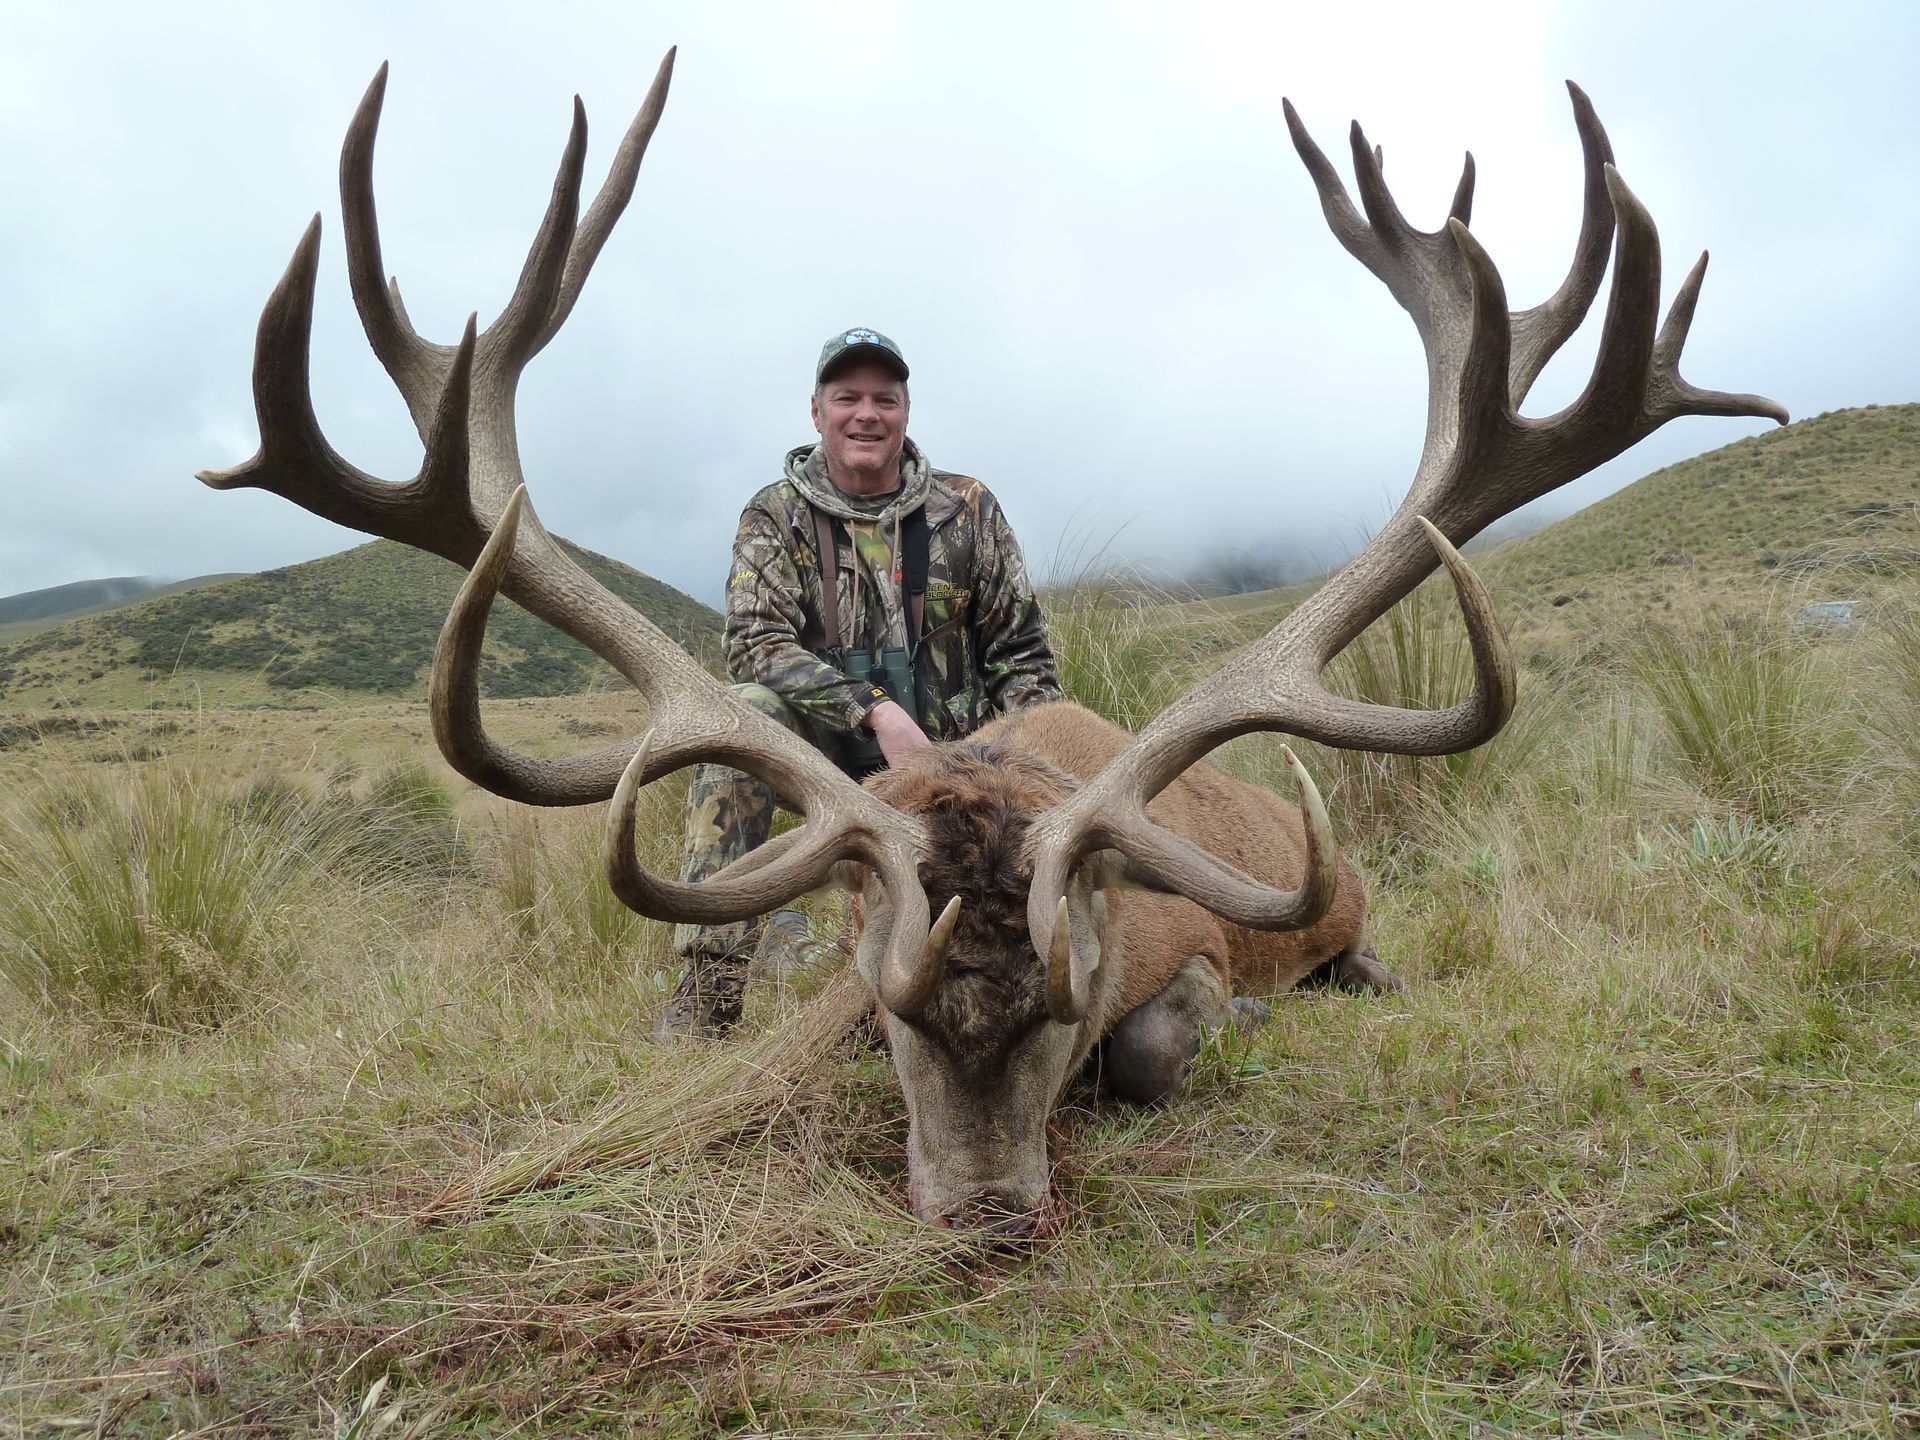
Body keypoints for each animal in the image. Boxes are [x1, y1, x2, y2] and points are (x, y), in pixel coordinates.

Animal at [200, 49, 1784, 1233]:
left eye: (1059, 1022)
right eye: (893, 1021)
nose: (985, 1214)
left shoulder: (1187, 953)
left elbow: (1161, 1044)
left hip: (1346, 900)